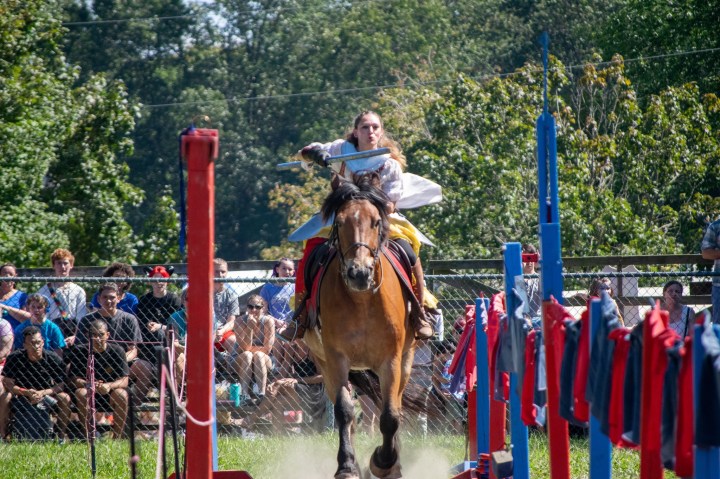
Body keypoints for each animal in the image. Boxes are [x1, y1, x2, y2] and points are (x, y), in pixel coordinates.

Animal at [304, 176, 416, 479]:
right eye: (340, 222)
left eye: (376, 221)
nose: (360, 273)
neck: (363, 300)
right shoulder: (336, 359)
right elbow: (344, 411)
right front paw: (347, 465)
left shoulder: (391, 360)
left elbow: (390, 415)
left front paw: (383, 462)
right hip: (325, 365)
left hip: (406, 361)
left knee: (396, 406)